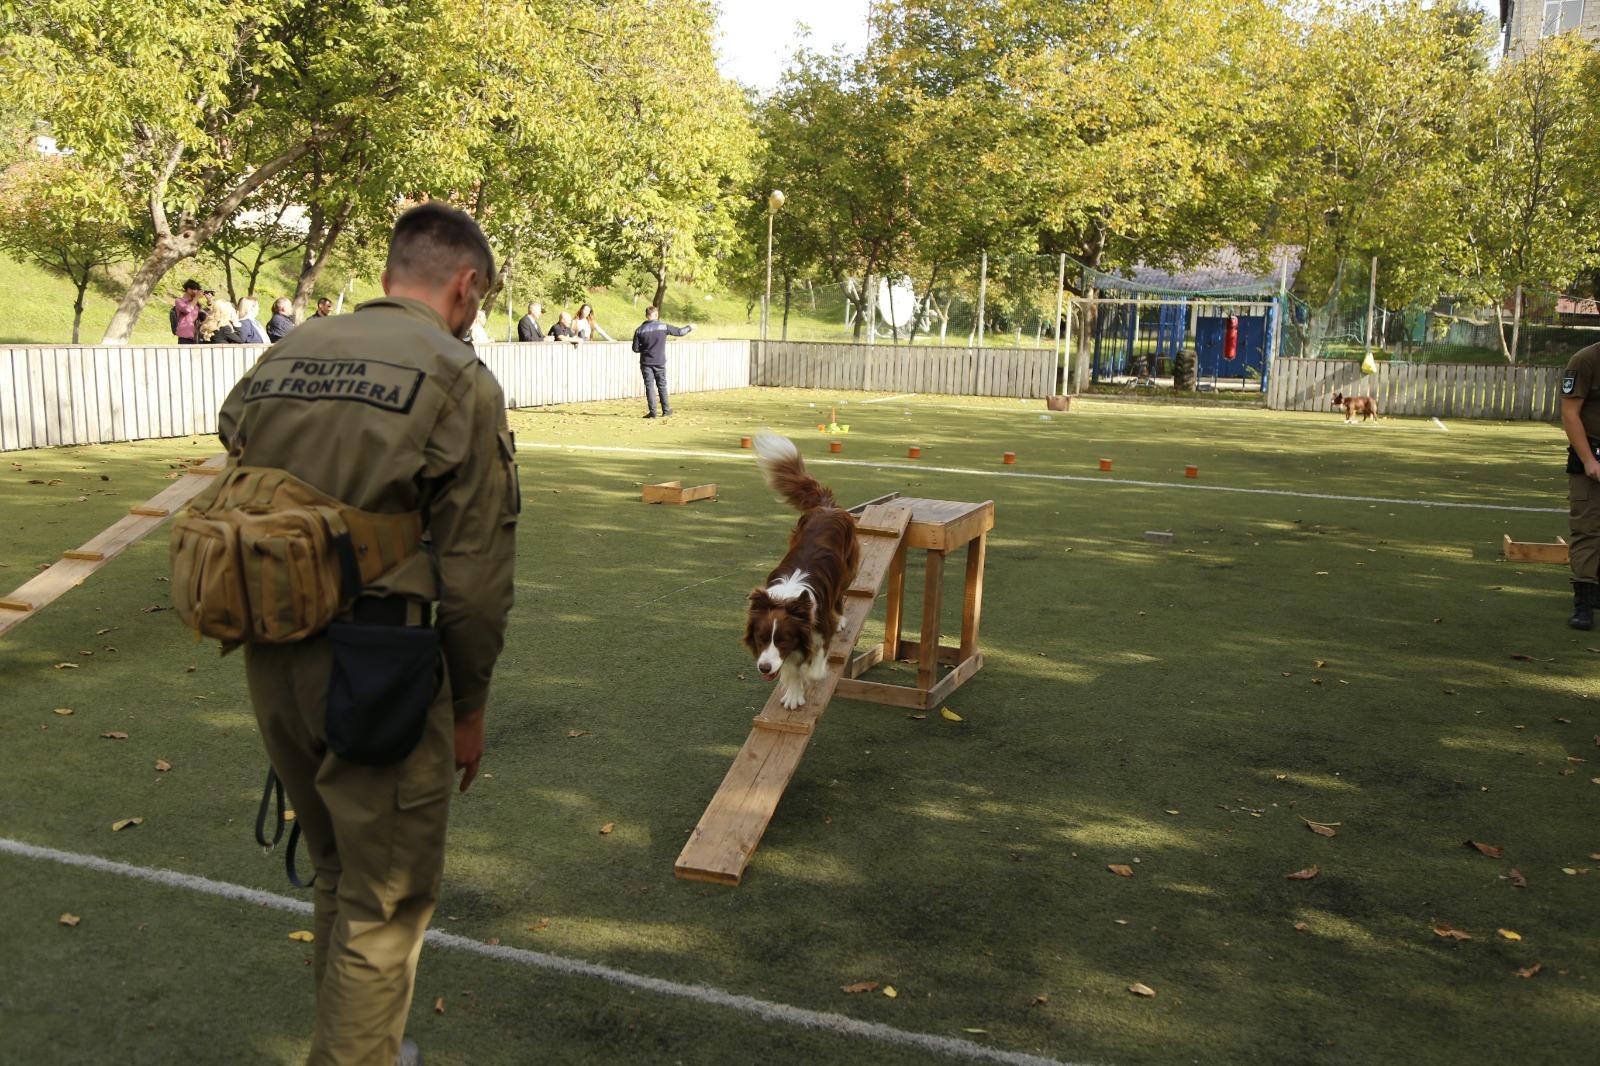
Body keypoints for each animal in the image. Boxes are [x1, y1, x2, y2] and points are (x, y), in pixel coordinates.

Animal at [739, 432, 857, 704]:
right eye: (761, 639)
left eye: (783, 640)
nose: (764, 668)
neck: (787, 598)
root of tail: (827, 506)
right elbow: (792, 669)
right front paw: (793, 694)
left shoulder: (820, 628)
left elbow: (813, 665)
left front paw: (811, 673)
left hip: (847, 571)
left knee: (840, 596)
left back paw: (841, 617)